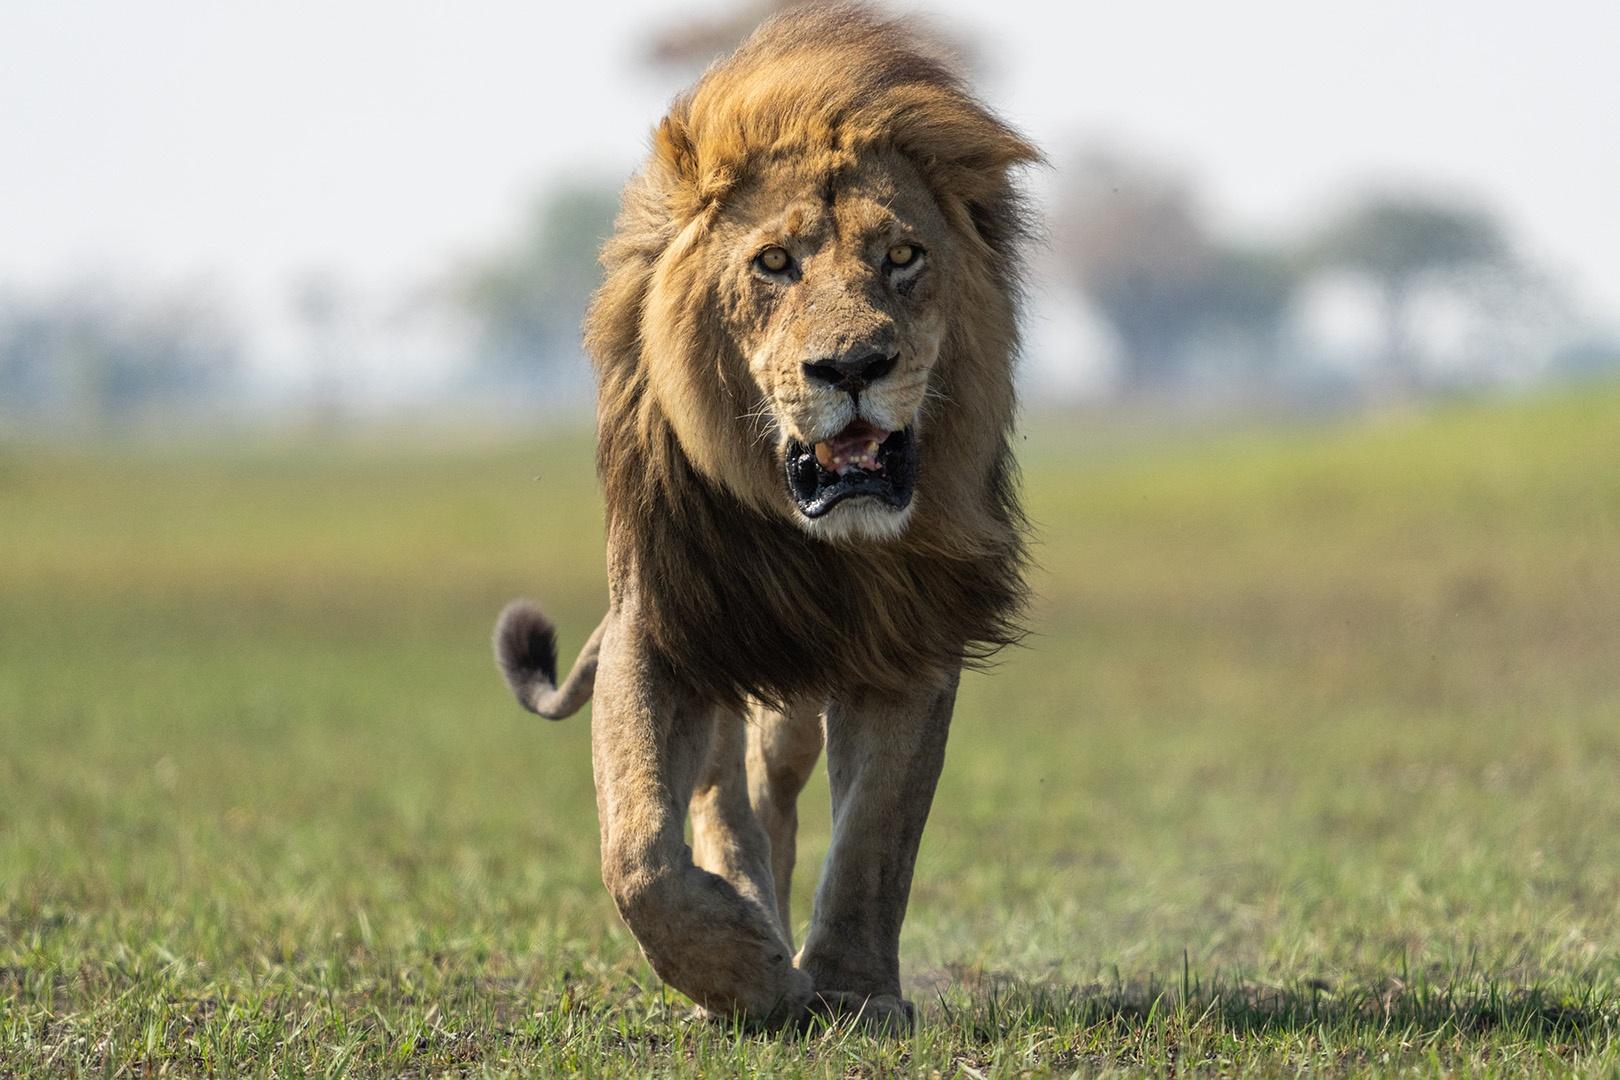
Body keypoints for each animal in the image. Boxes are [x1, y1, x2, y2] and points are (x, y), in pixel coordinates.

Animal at [492, 0, 1036, 1029]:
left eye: (902, 257)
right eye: (775, 264)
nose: (854, 366)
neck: (823, 542)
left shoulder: (907, 637)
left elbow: (874, 835)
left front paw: (855, 990)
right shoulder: (663, 625)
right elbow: (638, 847)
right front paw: (743, 968)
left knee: (772, 782)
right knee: (724, 796)